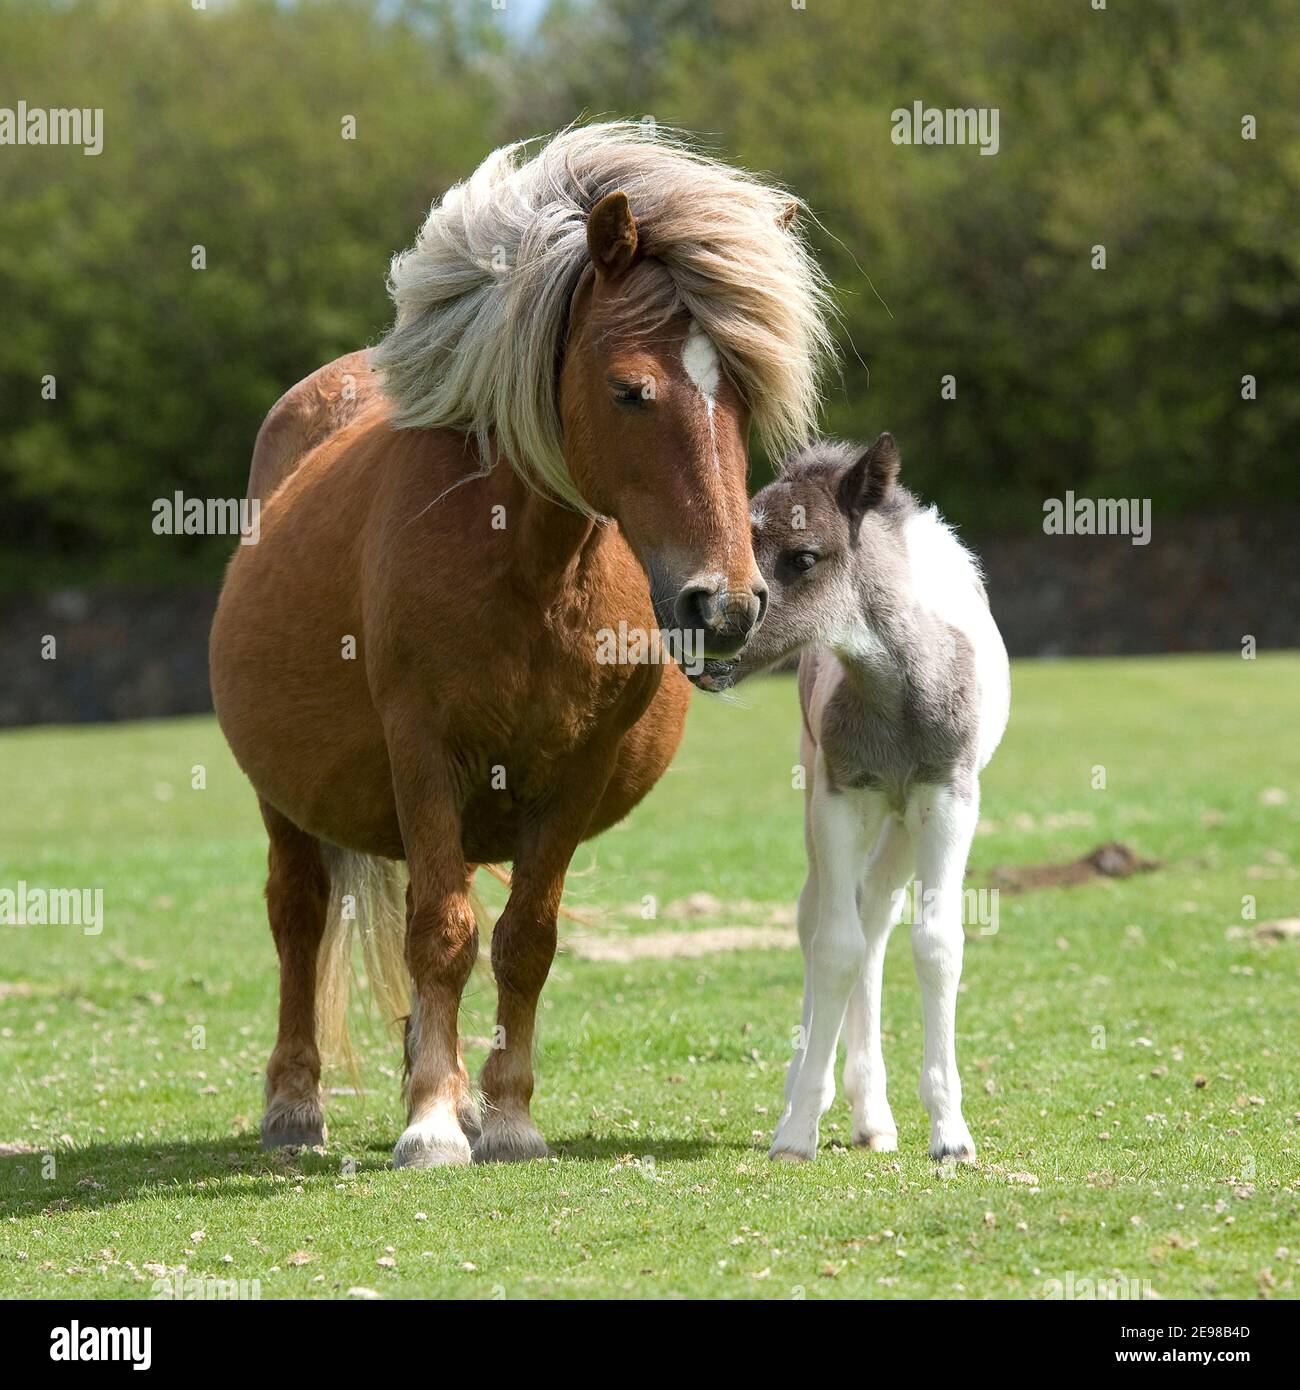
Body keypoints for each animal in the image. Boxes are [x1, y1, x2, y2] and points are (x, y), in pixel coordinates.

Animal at [207, 122, 828, 1162]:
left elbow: (522, 939)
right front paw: (428, 1125)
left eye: (743, 392)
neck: (532, 569)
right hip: (286, 796)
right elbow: (439, 933)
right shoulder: (422, 750)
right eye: (630, 391)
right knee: (299, 917)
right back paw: (296, 1105)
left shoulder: (575, 771)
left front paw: (501, 1115)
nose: (726, 605)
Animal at [700, 436, 1017, 1162]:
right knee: (821, 915)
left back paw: (874, 1114)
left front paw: (951, 1135)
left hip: (902, 821)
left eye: (804, 556)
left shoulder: (948, 796)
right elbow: (833, 944)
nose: (708, 640)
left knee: (875, 913)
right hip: (825, 794)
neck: (896, 690)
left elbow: (935, 943)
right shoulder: (840, 798)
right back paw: (818, 1097)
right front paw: (796, 1130)